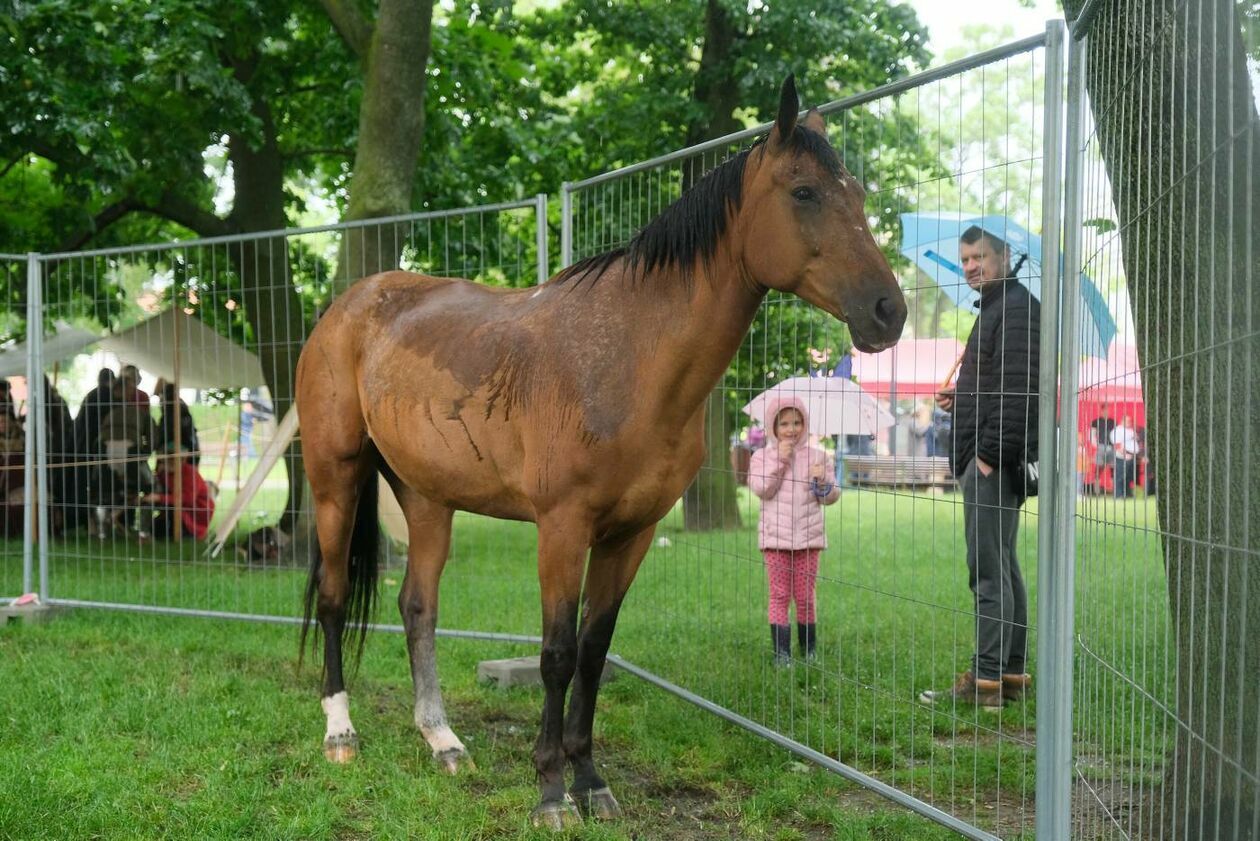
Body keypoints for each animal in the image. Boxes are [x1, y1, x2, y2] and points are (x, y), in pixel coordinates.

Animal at [294, 77, 907, 827]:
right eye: (804, 191)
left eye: (858, 194)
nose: (888, 311)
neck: (631, 360)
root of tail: (348, 307)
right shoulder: (563, 527)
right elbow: (557, 654)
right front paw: (551, 789)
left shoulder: (631, 532)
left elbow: (593, 649)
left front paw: (590, 779)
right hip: (337, 479)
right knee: (330, 598)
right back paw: (341, 732)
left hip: (427, 496)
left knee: (418, 607)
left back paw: (442, 739)